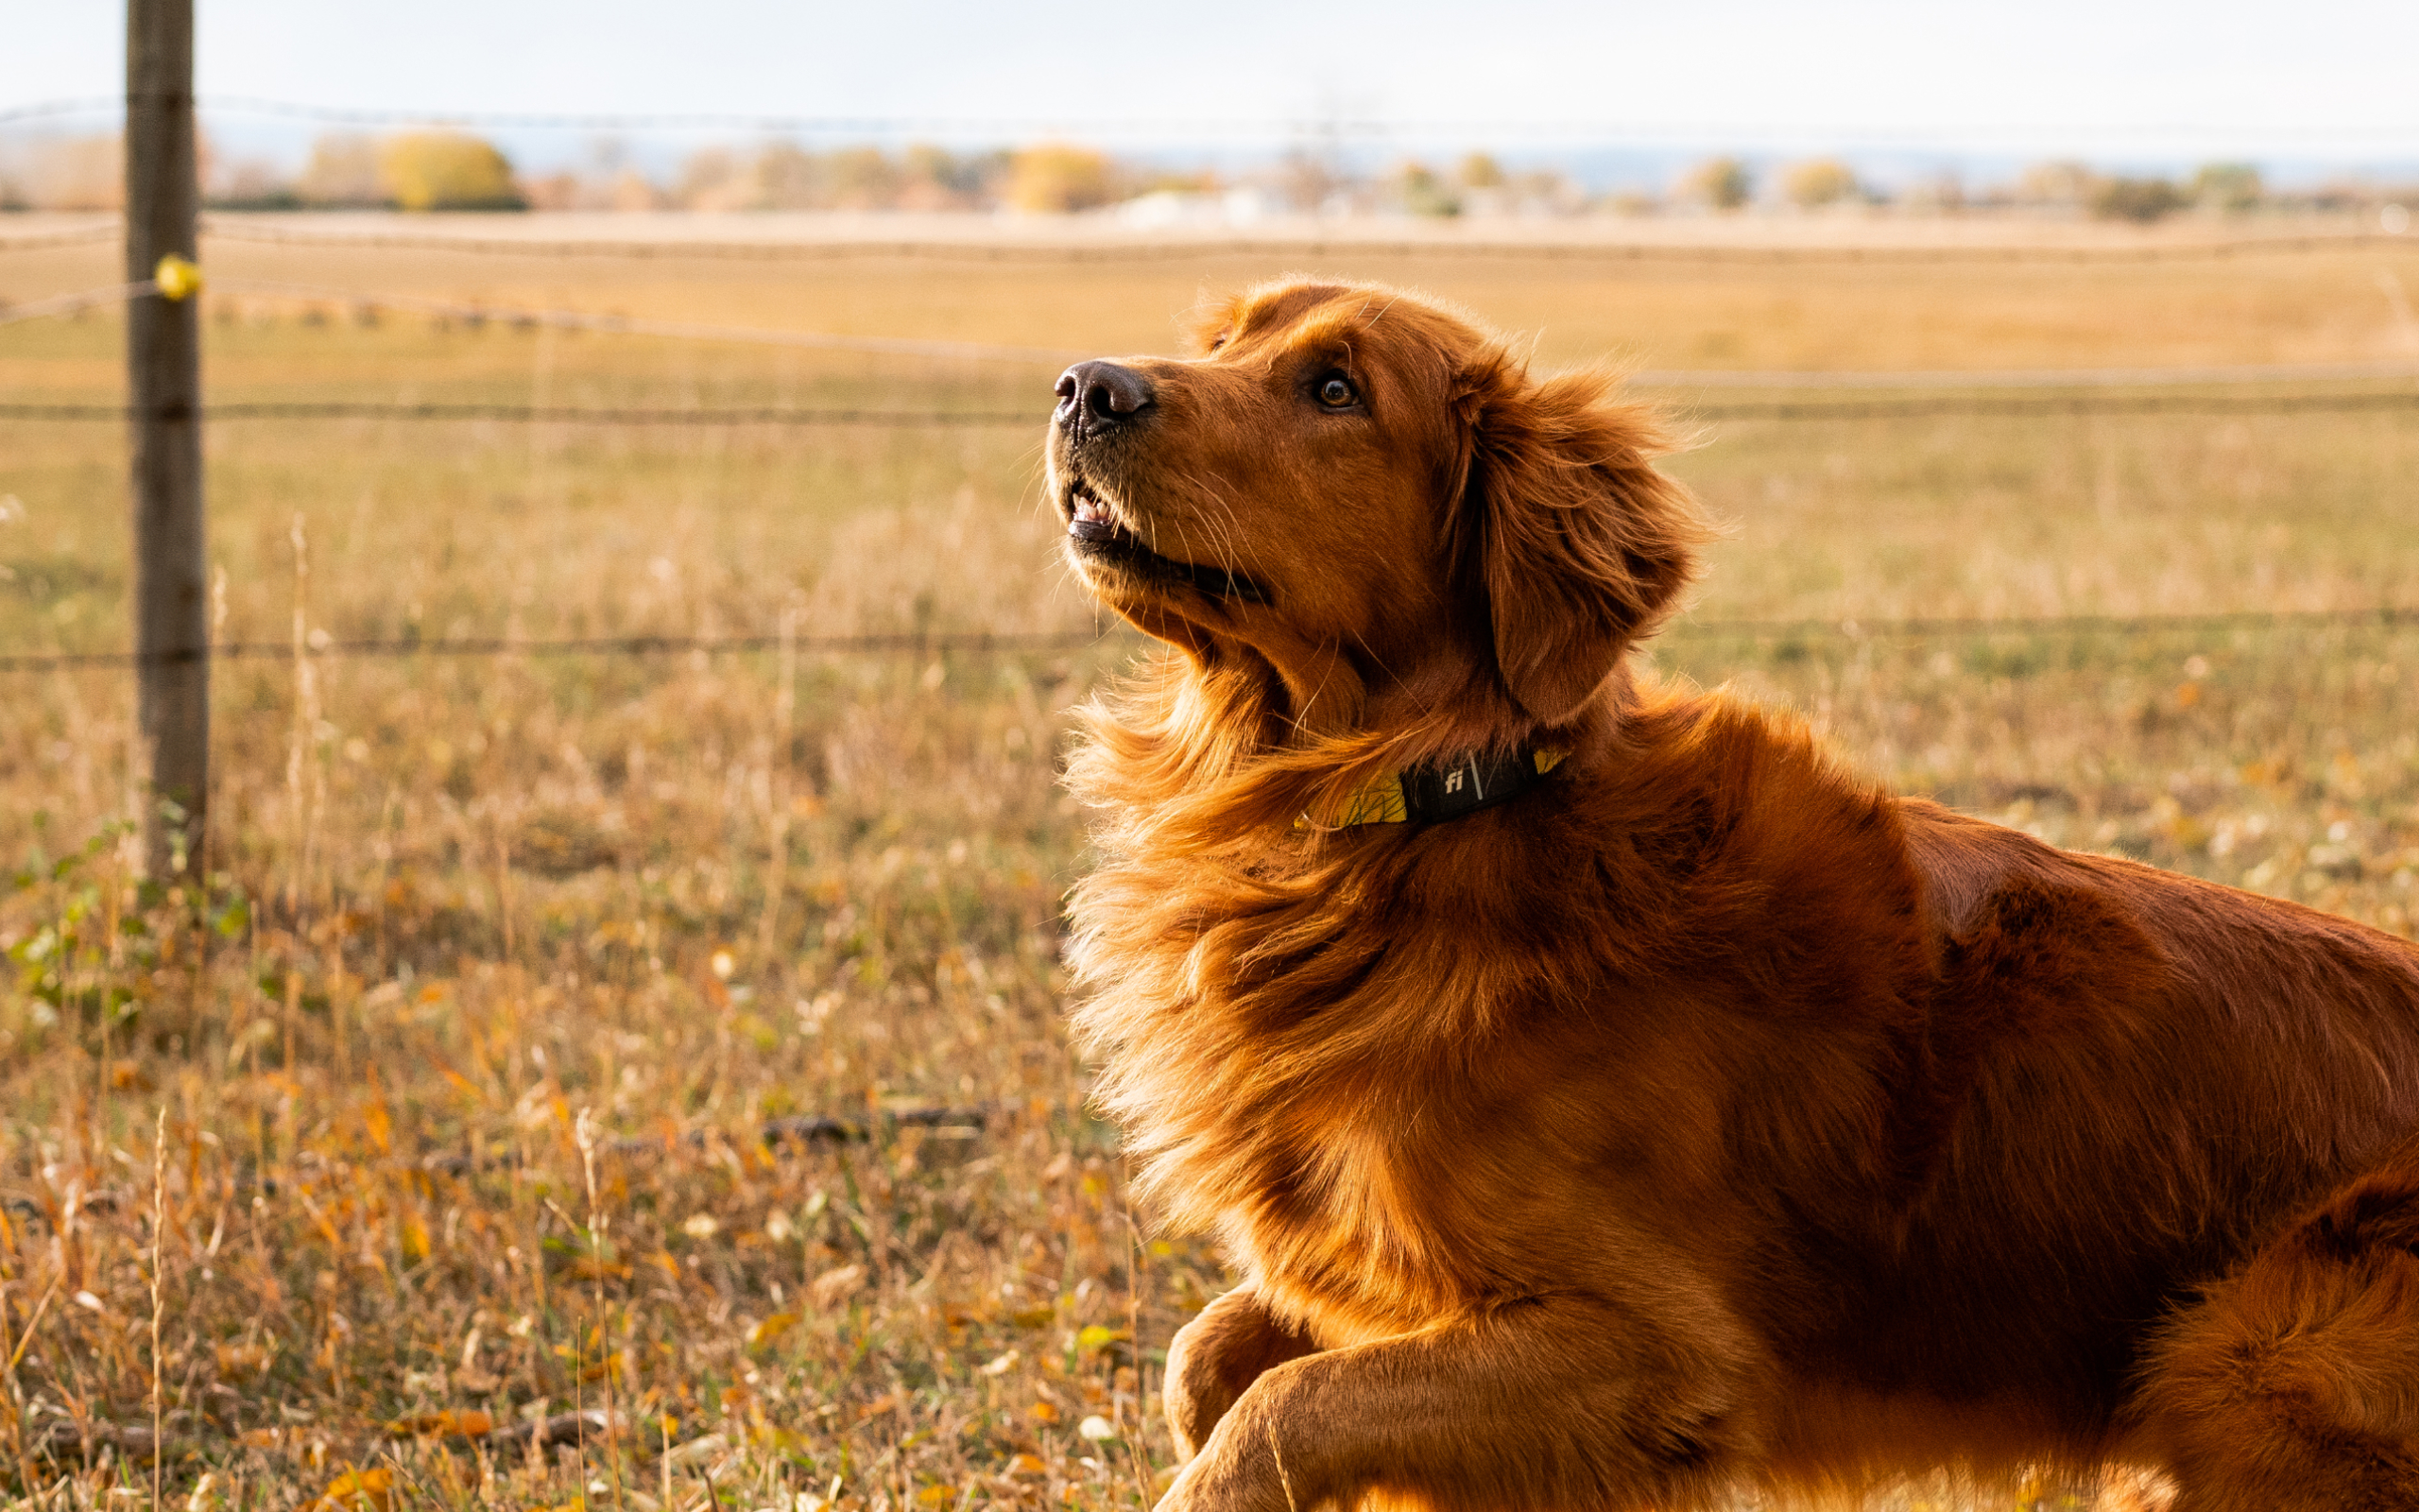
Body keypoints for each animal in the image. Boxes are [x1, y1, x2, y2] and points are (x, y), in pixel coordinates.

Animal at [1045, 274, 2420, 1509]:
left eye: (1336, 390)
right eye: (1217, 344)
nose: (1081, 386)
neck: (1417, 811)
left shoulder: (1655, 1356)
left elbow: (1277, 1415)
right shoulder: (1385, 1279)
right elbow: (1203, 1358)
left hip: (2249, 1355)